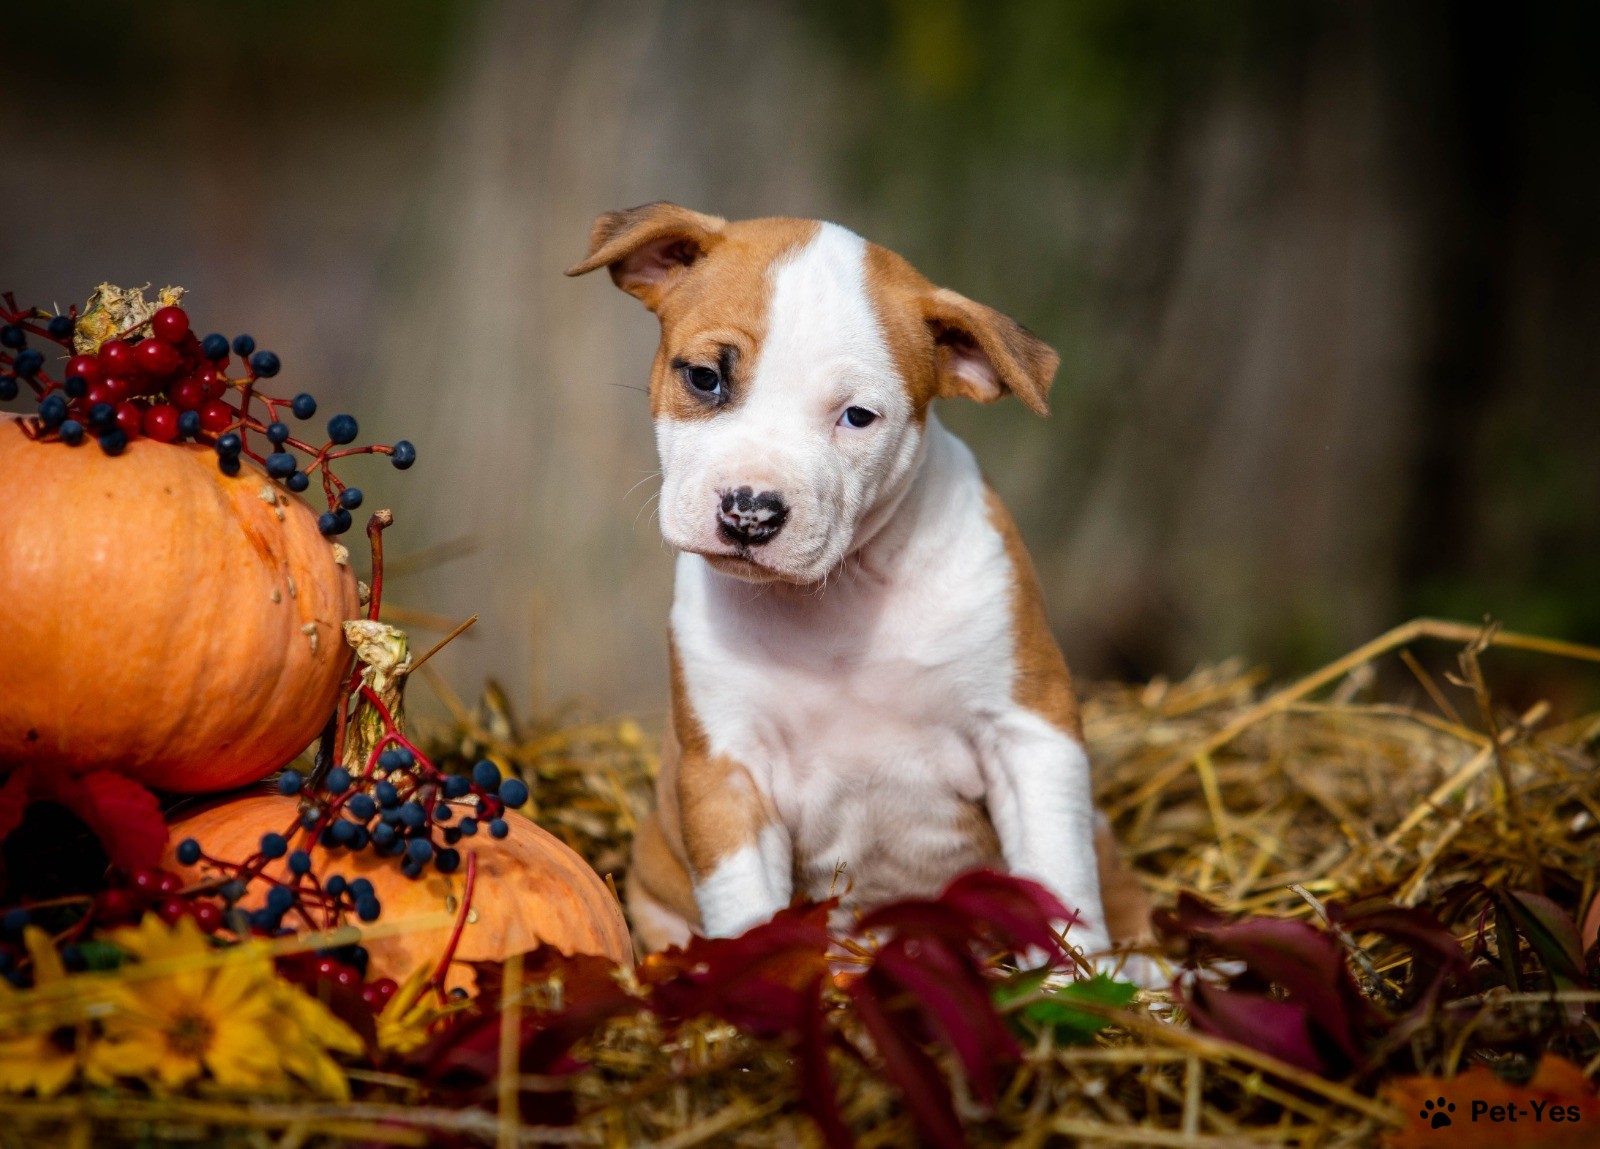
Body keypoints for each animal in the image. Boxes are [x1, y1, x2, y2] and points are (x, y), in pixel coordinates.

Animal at [569, 204, 1158, 972]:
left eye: (857, 416)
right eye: (703, 378)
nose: (750, 511)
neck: (837, 599)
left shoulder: (1031, 733)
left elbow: (1057, 882)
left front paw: (1070, 982)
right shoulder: (728, 773)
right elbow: (747, 909)